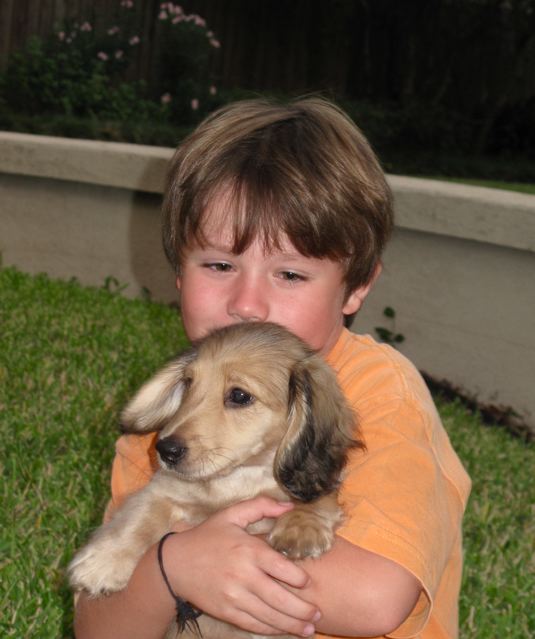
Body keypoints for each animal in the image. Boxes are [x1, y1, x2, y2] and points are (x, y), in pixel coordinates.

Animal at [68, 322, 362, 638]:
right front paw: (105, 560)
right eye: (188, 383)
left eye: (239, 396)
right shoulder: (164, 489)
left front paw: (302, 526)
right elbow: (141, 516)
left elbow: (320, 497)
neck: (235, 482)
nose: (165, 450)